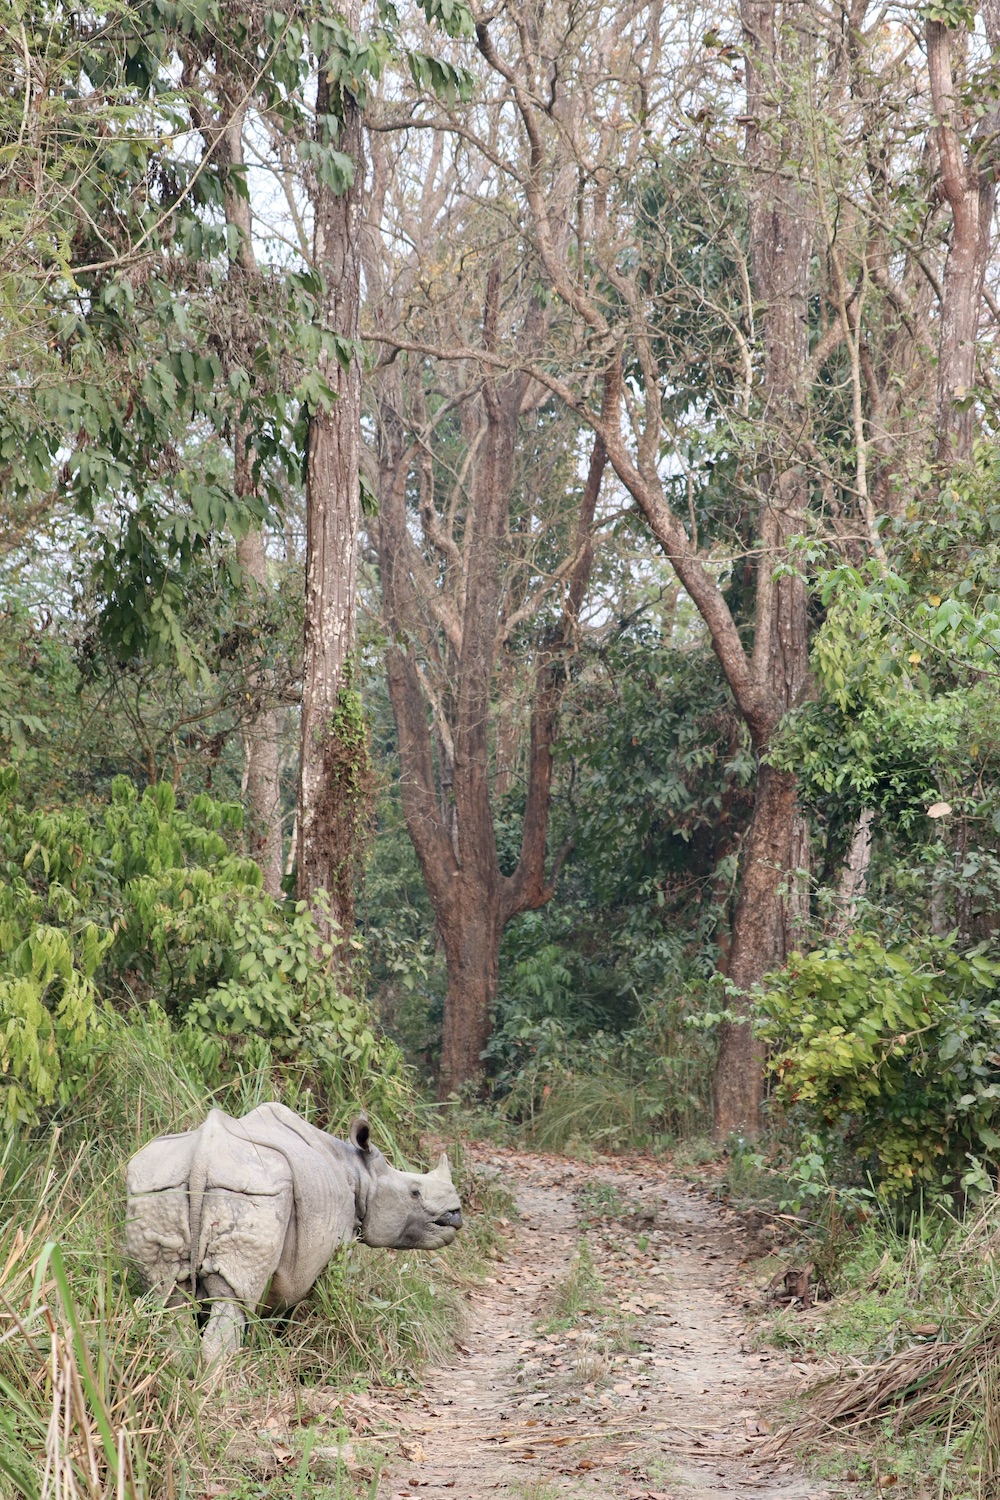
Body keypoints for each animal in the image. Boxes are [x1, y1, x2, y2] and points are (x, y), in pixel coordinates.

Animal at [125, 1102, 462, 1360]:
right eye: (415, 1192)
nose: (456, 1215)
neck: (360, 1173)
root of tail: (201, 1156)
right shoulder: (332, 1248)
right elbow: (310, 1298)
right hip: (253, 1189)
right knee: (233, 1300)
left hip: (157, 1187)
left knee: (168, 1298)